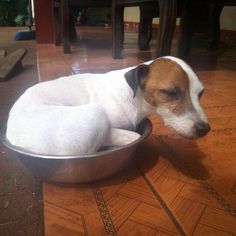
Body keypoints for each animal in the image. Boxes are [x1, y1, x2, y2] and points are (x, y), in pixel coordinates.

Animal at [6, 56, 210, 156]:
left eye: (201, 94)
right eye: (170, 92)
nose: (204, 129)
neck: (131, 95)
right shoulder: (110, 129)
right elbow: (133, 135)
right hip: (94, 113)